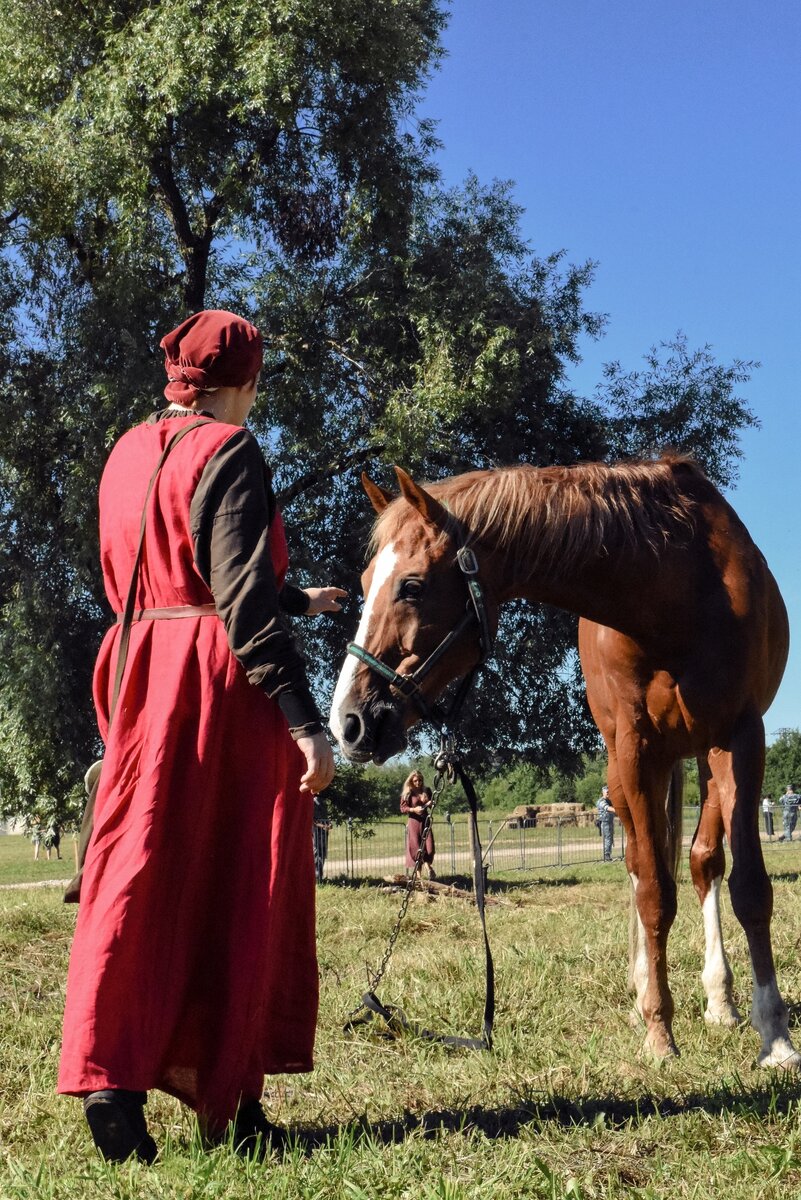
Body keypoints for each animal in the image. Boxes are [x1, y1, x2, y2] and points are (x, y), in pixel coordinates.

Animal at [328, 458, 796, 1070]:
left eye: (411, 586)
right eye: (361, 586)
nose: (347, 722)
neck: (675, 589)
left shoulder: (741, 737)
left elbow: (750, 888)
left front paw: (776, 1036)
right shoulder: (632, 746)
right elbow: (652, 889)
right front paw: (658, 1029)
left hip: (701, 759)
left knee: (702, 862)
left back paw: (720, 1000)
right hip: (630, 768)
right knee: (641, 866)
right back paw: (646, 989)